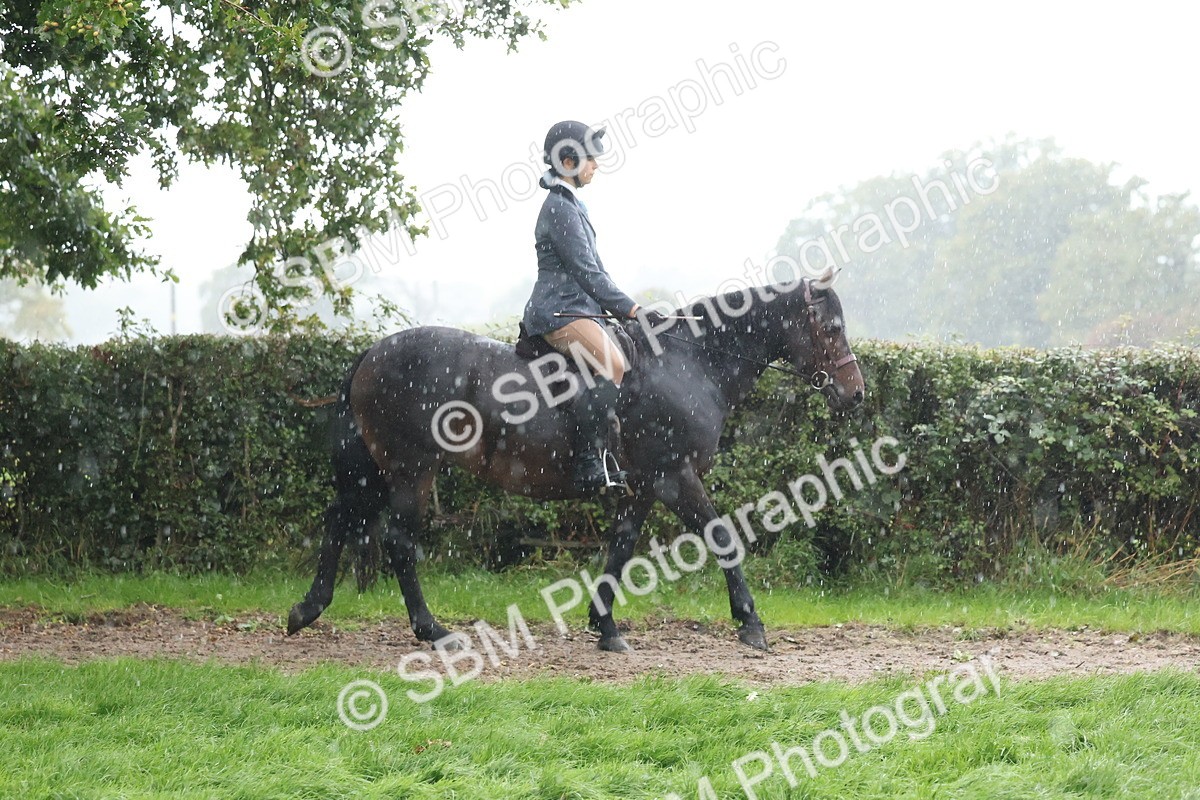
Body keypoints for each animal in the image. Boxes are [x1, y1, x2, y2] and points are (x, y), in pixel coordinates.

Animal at [287, 266, 864, 652]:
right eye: (832, 328)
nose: (855, 394)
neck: (688, 363)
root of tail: (373, 352)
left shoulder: (642, 486)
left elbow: (620, 548)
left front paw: (604, 626)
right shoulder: (675, 477)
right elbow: (721, 537)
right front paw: (751, 625)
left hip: (375, 471)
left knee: (340, 518)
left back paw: (306, 609)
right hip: (411, 470)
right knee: (399, 541)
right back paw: (433, 631)